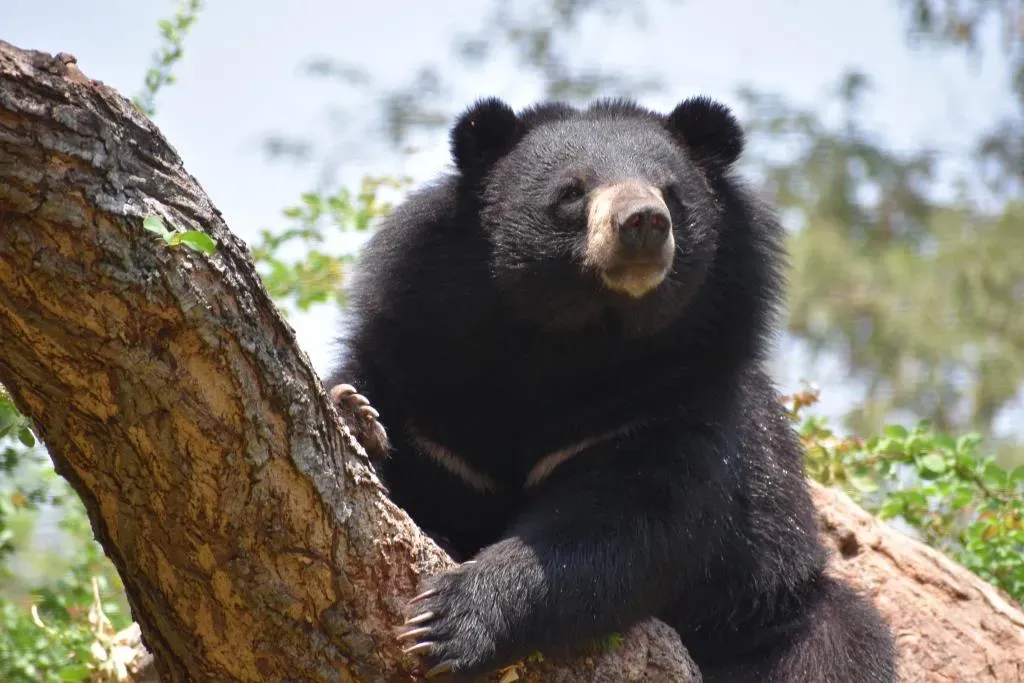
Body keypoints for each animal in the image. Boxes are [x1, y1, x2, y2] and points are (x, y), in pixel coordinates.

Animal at [325, 95, 897, 682]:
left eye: (671, 191)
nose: (643, 222)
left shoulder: (669, 398)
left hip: (770, 604)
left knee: (836, 642)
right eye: (572, 192)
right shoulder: (419, 364)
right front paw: (356, 416)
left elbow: (631, 523)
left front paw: (447, 621)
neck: (575, 337)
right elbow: (400, 448)